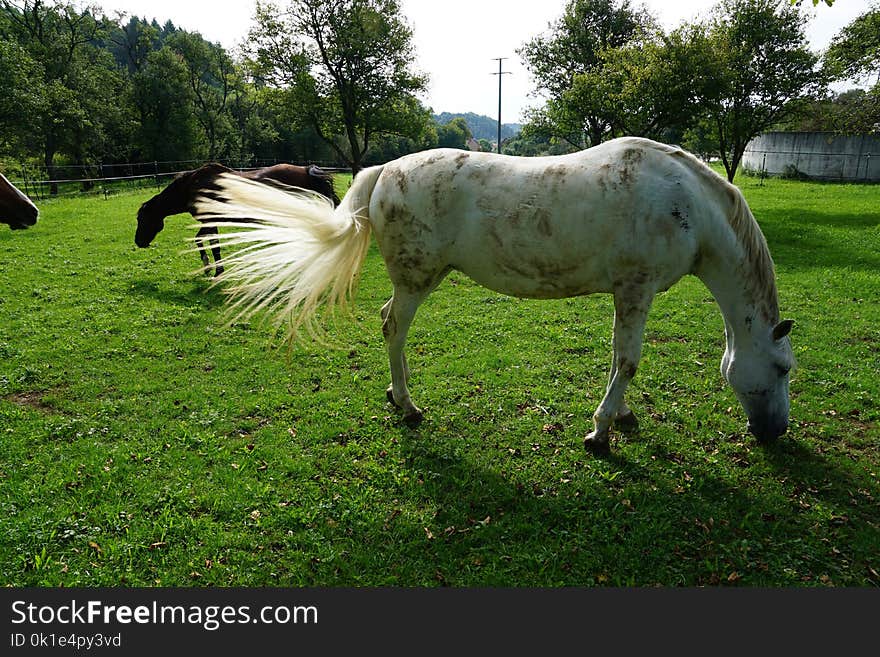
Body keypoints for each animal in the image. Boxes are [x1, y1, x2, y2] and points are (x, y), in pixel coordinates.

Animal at [135, 164, 340, 276]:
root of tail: (305, 170)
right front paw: (211, 268)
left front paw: (213, 269)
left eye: (142, 219)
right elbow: (206, 241)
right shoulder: (210, 221)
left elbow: (208, 243)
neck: (192, 186)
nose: (138, 242)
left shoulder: (210, 220)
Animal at [196, 136, 796, 454]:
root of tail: (382, 171)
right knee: (392, 326)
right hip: (416, 280)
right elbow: (626, 360)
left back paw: (396, 395)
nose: (775, 433)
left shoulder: (634, 294)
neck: (686, 204)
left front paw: (621, 416)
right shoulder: (635, 289)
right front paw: (601, 430)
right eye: (783, 368)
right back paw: (407, 405)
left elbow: (623, 363)